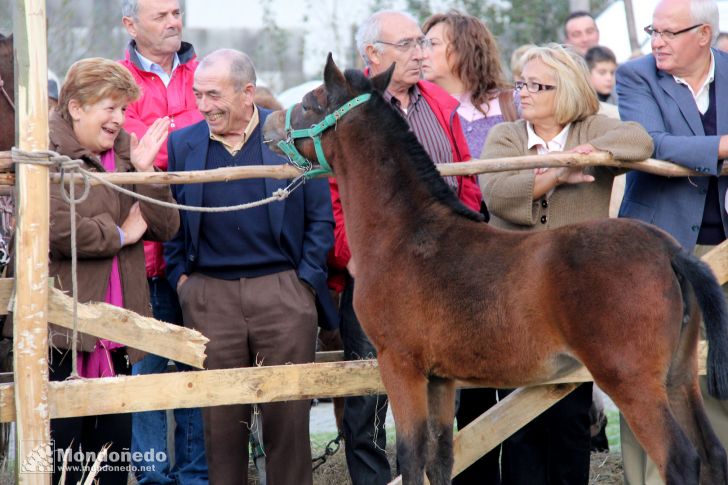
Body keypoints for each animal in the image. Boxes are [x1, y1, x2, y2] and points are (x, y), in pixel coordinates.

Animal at [264, 54, 728, 482]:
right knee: (712, 454)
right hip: (679, 376)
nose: (268, 125)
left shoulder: (399, 365)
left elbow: (412, 458)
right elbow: (440, 457)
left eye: (310, 103)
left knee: (681, 459)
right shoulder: (440, 378)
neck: (405, 234)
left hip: (631, 380)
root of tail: (669, 251)